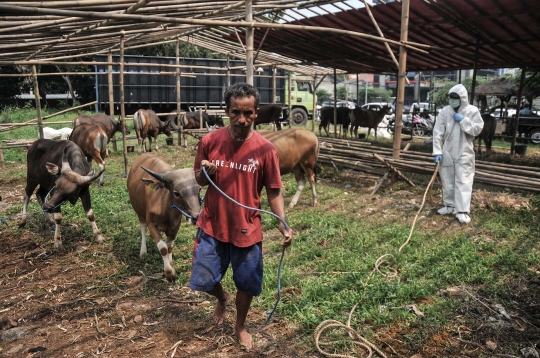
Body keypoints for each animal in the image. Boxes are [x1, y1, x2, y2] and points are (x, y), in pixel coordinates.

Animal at [126, 152, 200, 282]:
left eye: (199, 189)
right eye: (176, 193)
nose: (195, 217)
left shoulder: (175, 226)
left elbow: (170, 247)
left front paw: (171, 264)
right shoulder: (151, 224)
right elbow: (163, 248)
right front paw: (169, 273)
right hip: (140, 213)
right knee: (143, 228)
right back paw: (143, 251)